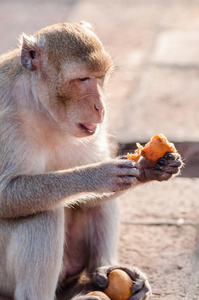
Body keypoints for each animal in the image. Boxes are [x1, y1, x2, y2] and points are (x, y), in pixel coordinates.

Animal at [0, 22, 182, 300]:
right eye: (82, 79)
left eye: (100, 77)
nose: (101, 107)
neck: (42, 108)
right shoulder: (6, 120)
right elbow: (6, 194)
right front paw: (98, 175)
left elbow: (96, 196)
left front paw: (148, 168)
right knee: (42, 213)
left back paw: (104, 267)